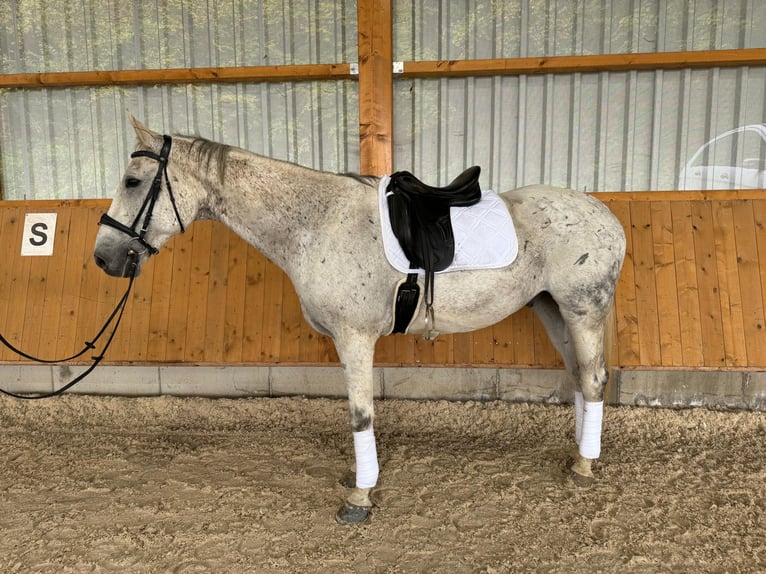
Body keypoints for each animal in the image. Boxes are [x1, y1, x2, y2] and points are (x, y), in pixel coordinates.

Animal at [93, 117, 628, 528]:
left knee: (594, 378)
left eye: (133, 182)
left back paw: (585, 466)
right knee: (580, 377)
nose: (103, 258)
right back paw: (578, 455)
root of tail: (604, 214)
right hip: (551, 307)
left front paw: (359, 497)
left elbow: (360, 414)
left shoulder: (354, 338)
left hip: (582, 308)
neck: (316, 223)